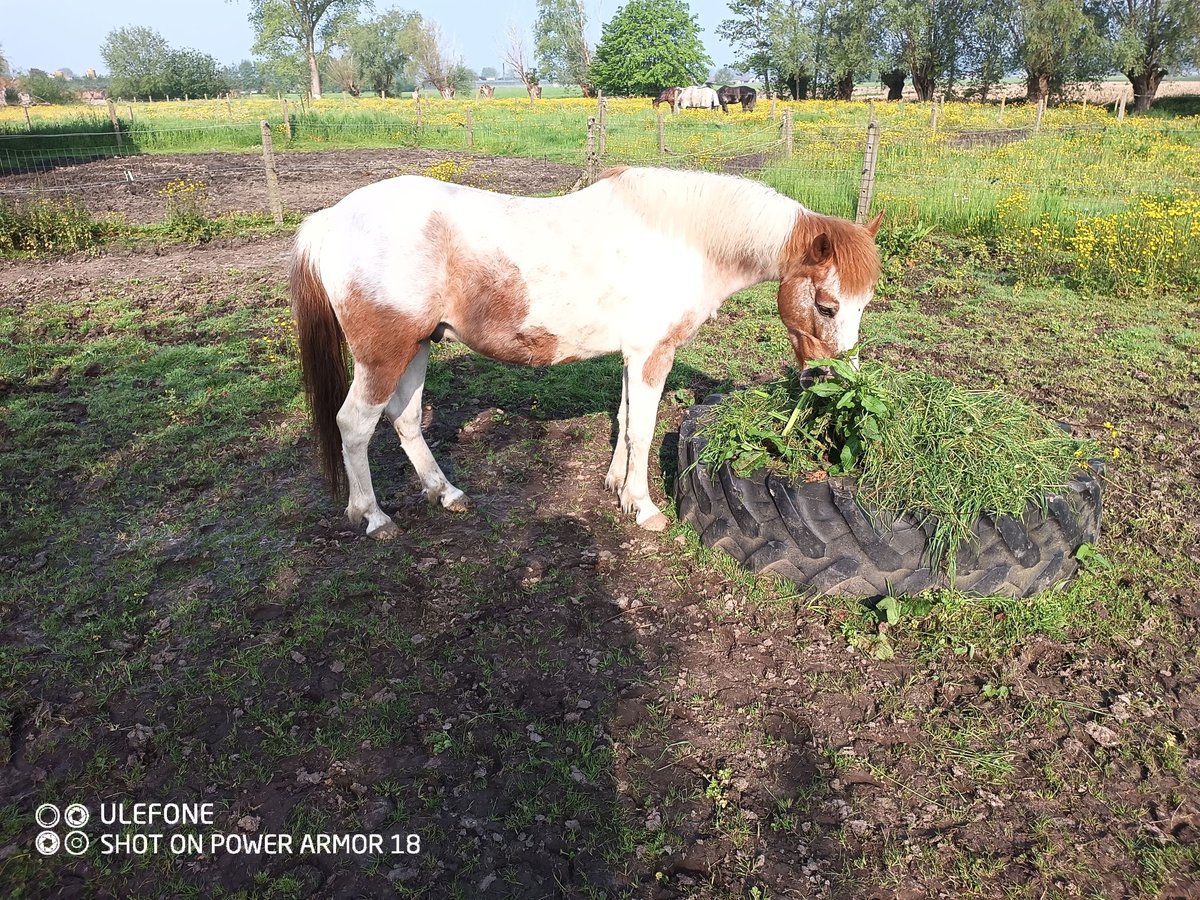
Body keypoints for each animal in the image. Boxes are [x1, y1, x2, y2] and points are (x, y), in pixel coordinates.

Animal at [292, 166, 883, 540]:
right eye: (827, 306)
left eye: (865, 304)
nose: (837, 382)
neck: (682, 239)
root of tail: (330, 219)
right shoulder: (651, 354)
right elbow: (642, 428)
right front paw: (644, 508)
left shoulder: (631, 355)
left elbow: (623, 419)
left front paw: (618, 487)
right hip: (383, 356)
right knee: (354, 426)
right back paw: (373, 518)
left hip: (416, 348)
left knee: (406, 420)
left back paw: (447, 493)